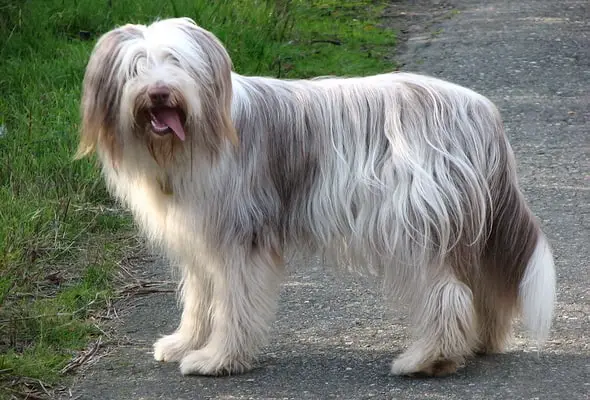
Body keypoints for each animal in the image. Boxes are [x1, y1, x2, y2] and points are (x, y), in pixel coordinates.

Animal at [77, 17, 556, 376]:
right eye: (136, 67)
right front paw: (184, 343)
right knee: (482, 282)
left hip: (414, 223)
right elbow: (199, 299)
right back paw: (478, 343)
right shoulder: (200, 238)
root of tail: (482, 111)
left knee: (446, 291)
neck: (192, 140)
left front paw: (218, 358)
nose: (160, 92)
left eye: (176, 63)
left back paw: (428, 359)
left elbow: (234, 303)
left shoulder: (241, 238)